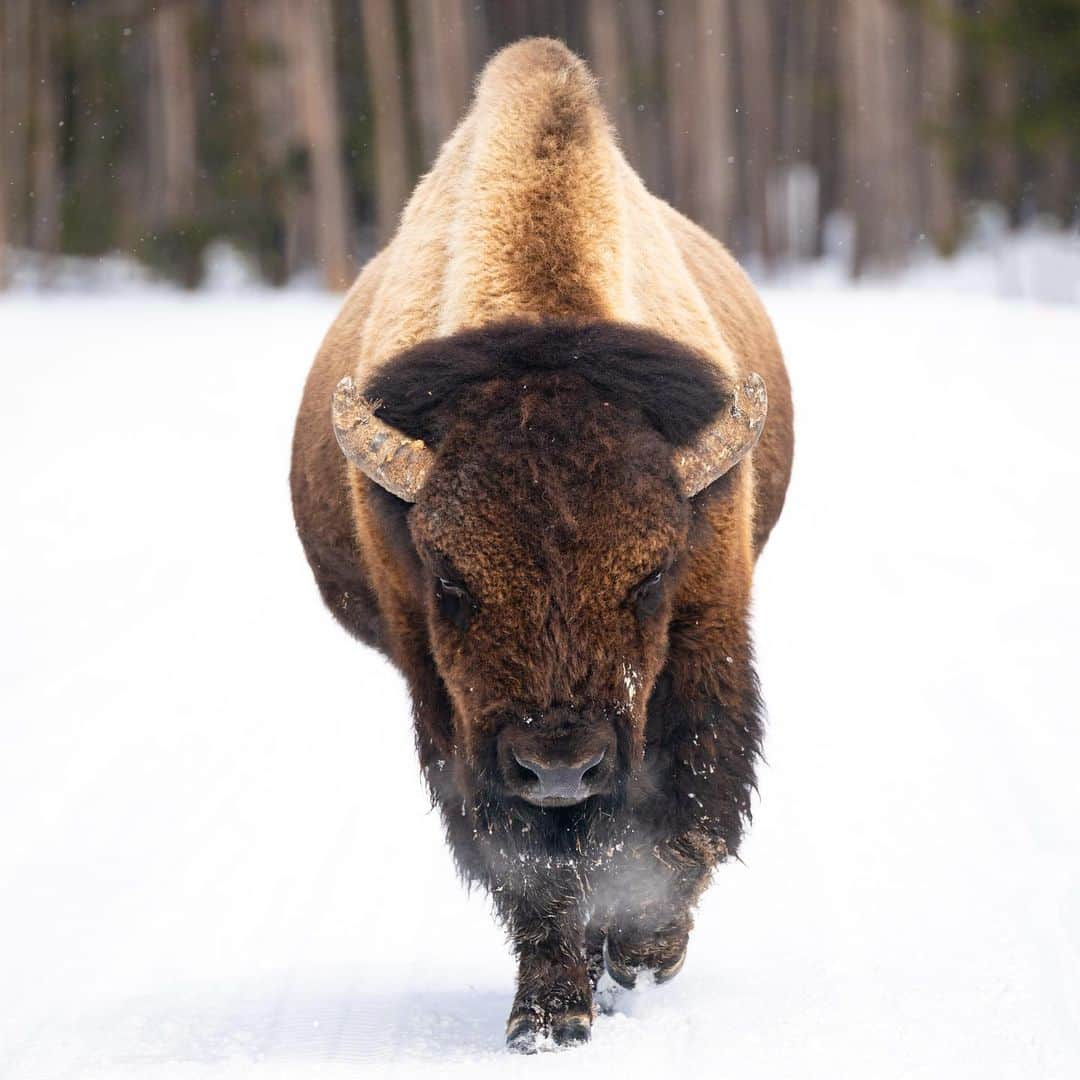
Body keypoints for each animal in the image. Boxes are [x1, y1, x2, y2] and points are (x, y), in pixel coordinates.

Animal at [289, 38, 794, 1049]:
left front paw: (645, 954)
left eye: (650, 575)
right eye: (450, 580)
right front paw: (548, 1015)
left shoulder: (707, 629)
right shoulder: (445, 696)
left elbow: (687, 810)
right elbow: (528, 863)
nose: (559, 765)